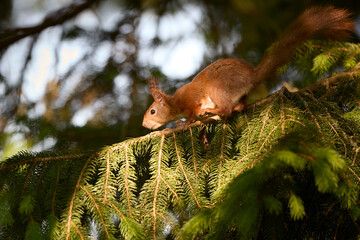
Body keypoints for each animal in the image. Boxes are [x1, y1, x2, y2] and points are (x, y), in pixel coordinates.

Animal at [142, 6, 352, 129]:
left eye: (152, 111)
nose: (144, 125)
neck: (174, 103)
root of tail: (251, 77)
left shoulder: (191, 100)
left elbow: (192, 112)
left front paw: (185, 122)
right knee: (239, 106)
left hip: (217, 87)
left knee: (227, 108)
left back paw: (212, 111)